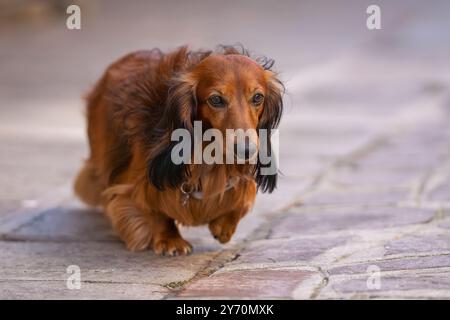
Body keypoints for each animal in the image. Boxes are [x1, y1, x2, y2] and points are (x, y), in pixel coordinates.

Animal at [75, 44, 284, 255]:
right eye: (216, 100)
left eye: (257, 97)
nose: (246, 151)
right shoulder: (136, 182)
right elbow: (154, 209)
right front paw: (170, 239)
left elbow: (245, 196)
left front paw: (224, 226)